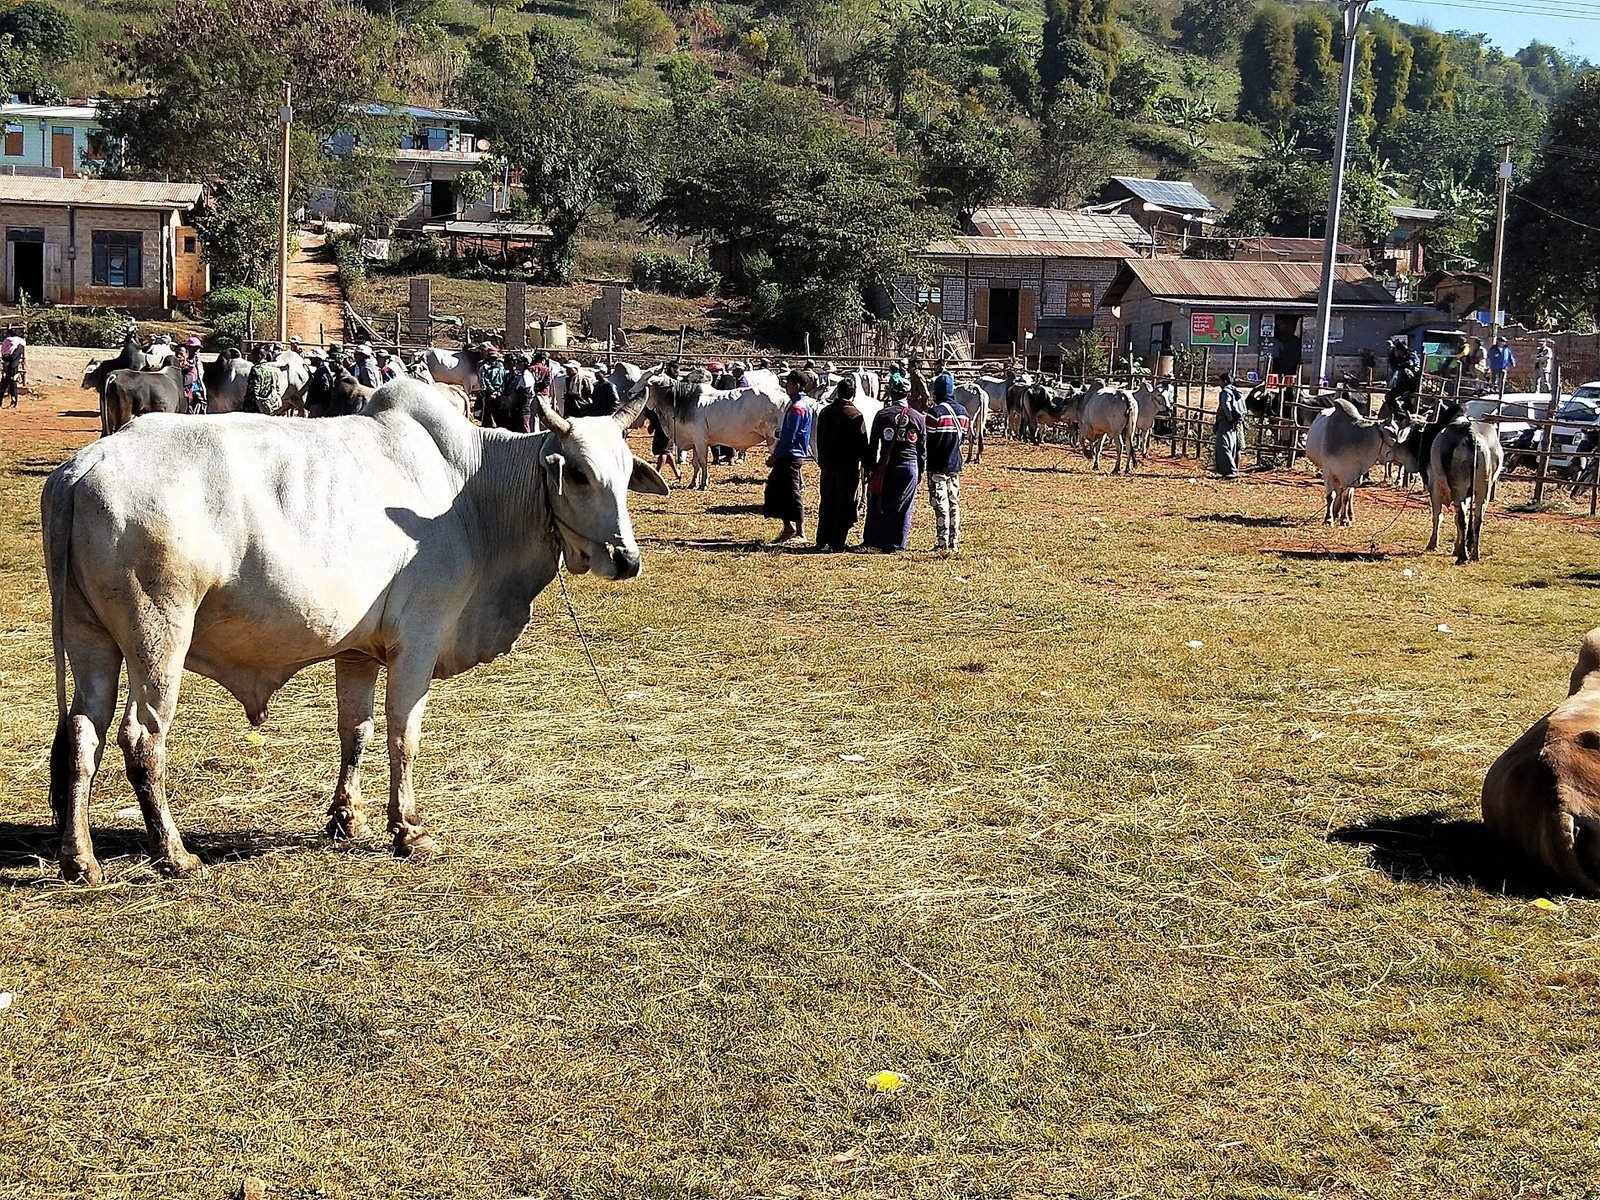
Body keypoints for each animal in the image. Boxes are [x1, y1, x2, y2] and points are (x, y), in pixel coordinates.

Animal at [42, 380, 665, 884]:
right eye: (578, 473)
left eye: (625, 475)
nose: (626, 559)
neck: (471, 492)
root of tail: (85, 466)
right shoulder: (418, 640)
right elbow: (403, 735)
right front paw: (408, 830)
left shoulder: (360, 650)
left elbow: (356, 731)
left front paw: (348, 819)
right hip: (159, 634)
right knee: (142, 739)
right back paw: (173, 854)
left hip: (91, 640)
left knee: (82, 734)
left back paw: (81, 859)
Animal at [634, 373, 787, 489]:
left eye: (645, 383)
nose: (630, 392)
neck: (682, 401)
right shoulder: (694, 442)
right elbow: (695, 463)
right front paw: (693, 483)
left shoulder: (701, 440)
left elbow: (703, 462)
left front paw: (703, 484)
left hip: (773, 440)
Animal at [1303, 396, 1402, 525]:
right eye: (1392, 434)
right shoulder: (1328, 471)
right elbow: (1331, 495)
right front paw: (1329, 519)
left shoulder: (1352, 474)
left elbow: (1346, 497)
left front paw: (1345, 519)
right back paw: (1335, 513)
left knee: (1349, 495)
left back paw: (1349, 515)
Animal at [1425, 412, 1504, 563]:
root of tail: (1471, 433)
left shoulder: (1434, 487)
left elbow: (1438, 516)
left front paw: (1432, 544)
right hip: (1483, 490)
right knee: (1477, 520)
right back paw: (1474, 555)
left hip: (1458, 488)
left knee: (1462, 518)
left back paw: (1462, 556)